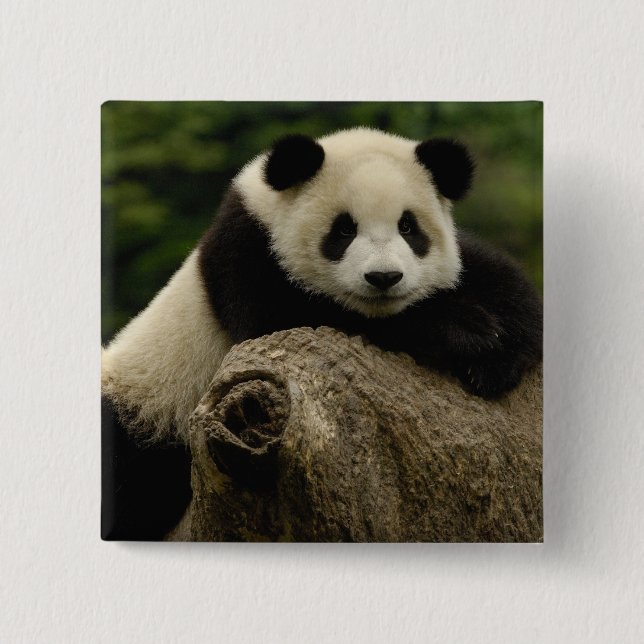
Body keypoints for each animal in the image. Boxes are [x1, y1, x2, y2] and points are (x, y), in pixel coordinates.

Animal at [101, 127, 542, 540]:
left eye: (408, 227)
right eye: (344, 230)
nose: (384, 277)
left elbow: (497, 279)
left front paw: (499, 354)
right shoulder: (248, 258)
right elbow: (294, 320)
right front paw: (466, 332)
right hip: (147, 406)